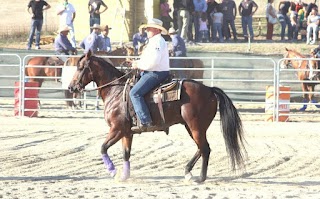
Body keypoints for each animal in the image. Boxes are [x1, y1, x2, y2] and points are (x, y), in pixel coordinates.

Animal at [69, 51, 246, 183]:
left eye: (80, 67)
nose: (71, 87)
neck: (116, 92)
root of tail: (209, 89)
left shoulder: (116, 129)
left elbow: (103, 148)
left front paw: (113, 172)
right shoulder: (127, 132)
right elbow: (126, 153)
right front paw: (124, 175)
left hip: (196, 127)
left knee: (205, 148)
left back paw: (200, 178)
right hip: (192, 127)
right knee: (201, 148)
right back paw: (188, 172)